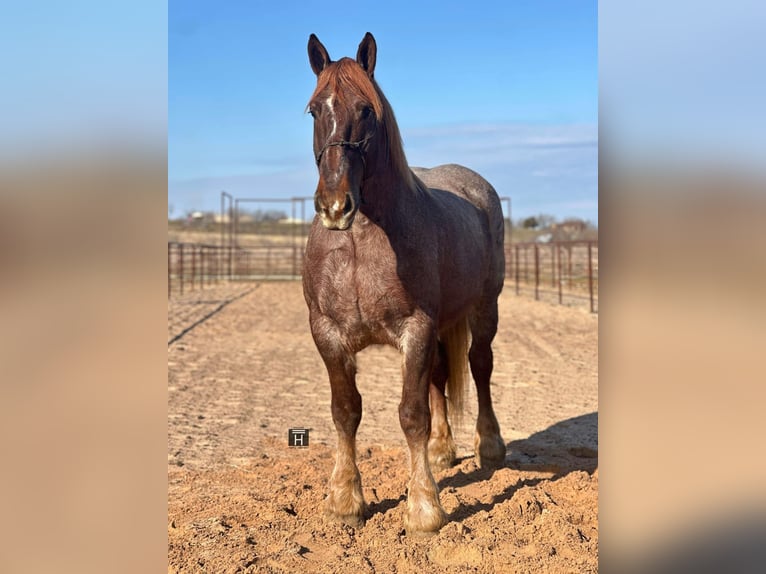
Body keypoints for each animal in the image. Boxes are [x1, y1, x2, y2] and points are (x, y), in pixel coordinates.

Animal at [302, 32, 506, 535]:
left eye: (366, 109)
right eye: (315, 110)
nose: (335, 206)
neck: (360, 244)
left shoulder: (415, 330)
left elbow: (411, 415)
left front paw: (424, 507)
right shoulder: (328, 335)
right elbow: (345, 411)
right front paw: (345, 500)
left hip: (485, 308)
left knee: (480, 365)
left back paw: (489, 445)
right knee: (440, 376)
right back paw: (443, 449)